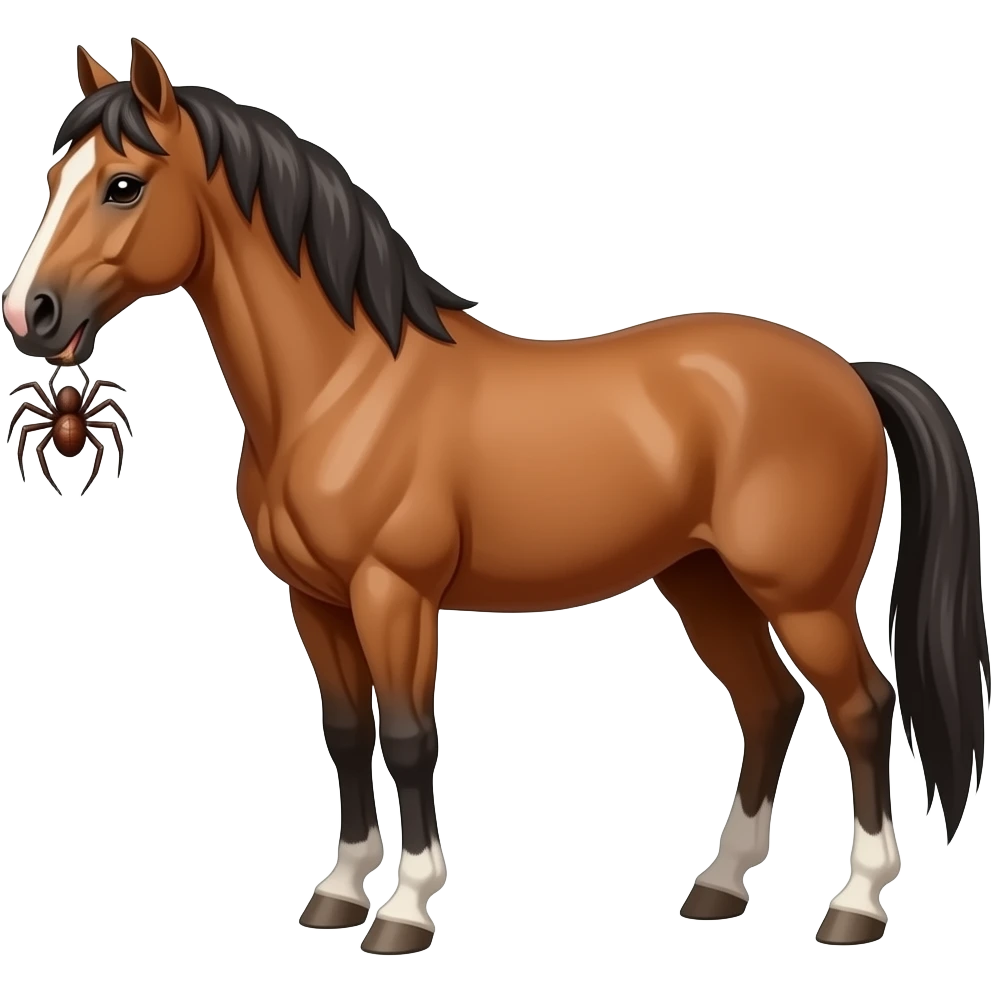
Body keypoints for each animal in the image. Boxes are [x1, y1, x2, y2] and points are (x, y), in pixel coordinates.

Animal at [3, 39, 988, 954]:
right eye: (54, 178)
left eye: (123, 185)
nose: (30, 315)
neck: (344, 385)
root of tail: (849, 374)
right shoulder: (315, 601)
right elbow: (346, 732)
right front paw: (339, 893)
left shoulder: (393, 594)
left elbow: (409, 736)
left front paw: (404, 911)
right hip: (703, 581)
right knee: (769, 704)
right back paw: (718, 886)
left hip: (803, 596)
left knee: (864, 709)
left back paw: (856, 904)